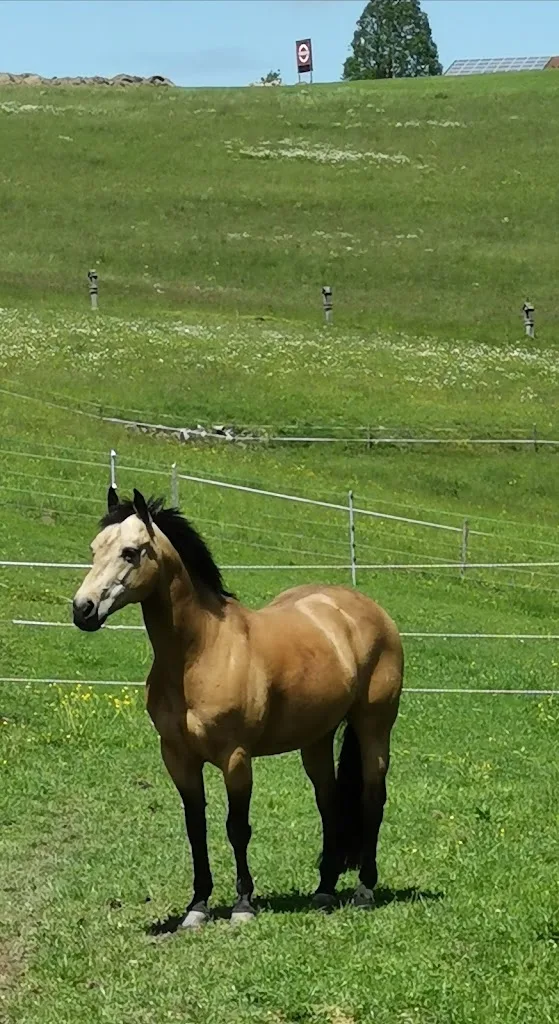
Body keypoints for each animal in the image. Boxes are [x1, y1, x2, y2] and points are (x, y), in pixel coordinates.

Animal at [72, 487, 404, 928]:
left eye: (130, 552)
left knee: (372, 798)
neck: (200, 651)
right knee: (329, 802)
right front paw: (197, 907)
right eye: (95, 549)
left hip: (373, 727)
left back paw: (364, 890)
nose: (83, 610)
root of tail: (370, 612)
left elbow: (237, 827)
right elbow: (196, 828)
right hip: (316, 740)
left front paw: (243, 904)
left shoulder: (236, 758)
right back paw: (324, 889)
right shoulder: (177, 757)